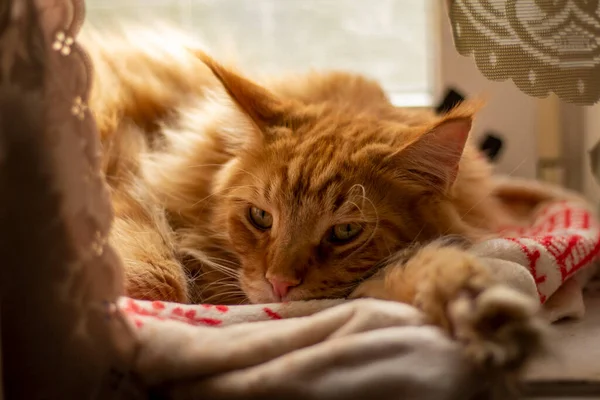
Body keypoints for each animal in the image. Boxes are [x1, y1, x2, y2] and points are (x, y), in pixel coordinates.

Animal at [83, 26, 544, 370]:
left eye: (345, 232)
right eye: (260, 217)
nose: (279, 284)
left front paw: (477, 309)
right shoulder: (126, 188)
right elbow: (159, 280)